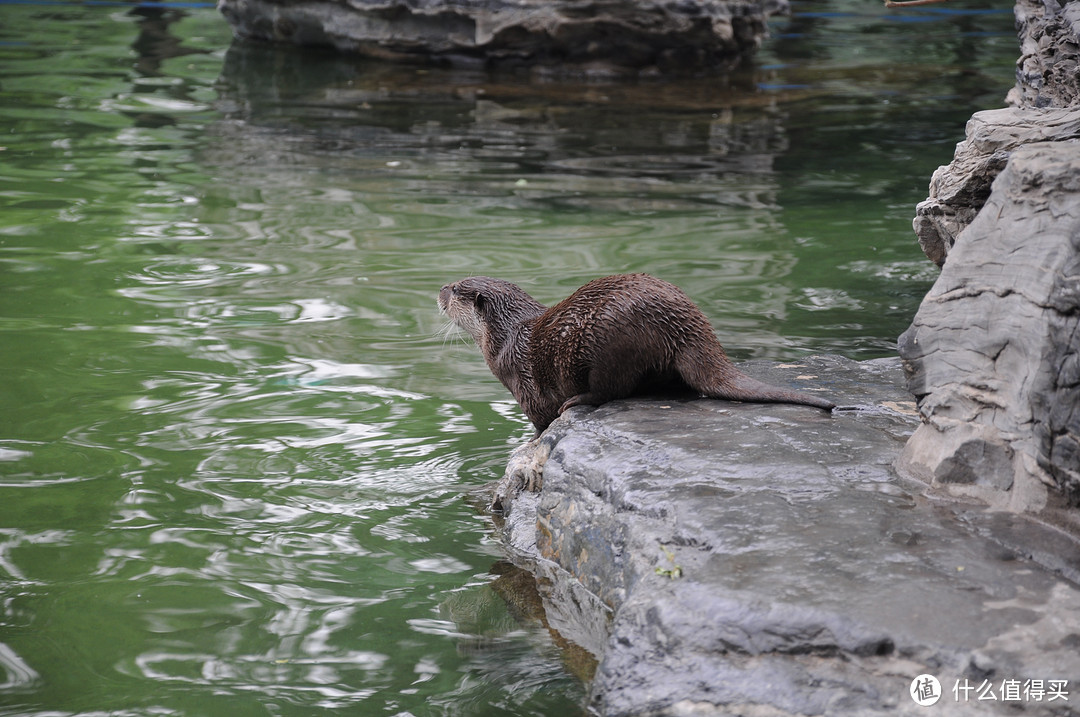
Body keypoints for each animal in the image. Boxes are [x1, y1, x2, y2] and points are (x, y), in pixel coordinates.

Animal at [436, 273, 833, 431]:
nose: (438, 288)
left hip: (609, 341)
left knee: (610, 390)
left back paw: (578, 400)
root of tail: (686, 326)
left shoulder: (523, 384)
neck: (506, 335)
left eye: (455, 288)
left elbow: (540, 422)